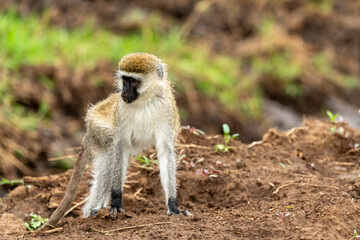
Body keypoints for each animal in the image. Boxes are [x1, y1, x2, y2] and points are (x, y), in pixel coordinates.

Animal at [44, 52, 190, 229]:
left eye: (133, 81)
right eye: (125, 80)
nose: (124, 92)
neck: (145, 101)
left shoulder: (166, 108)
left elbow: (165, 151)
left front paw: (173, 206)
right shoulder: (121, 111)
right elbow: (120, 147)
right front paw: (115, 202)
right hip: (98, 128)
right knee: (109, 157)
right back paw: (91, 212)